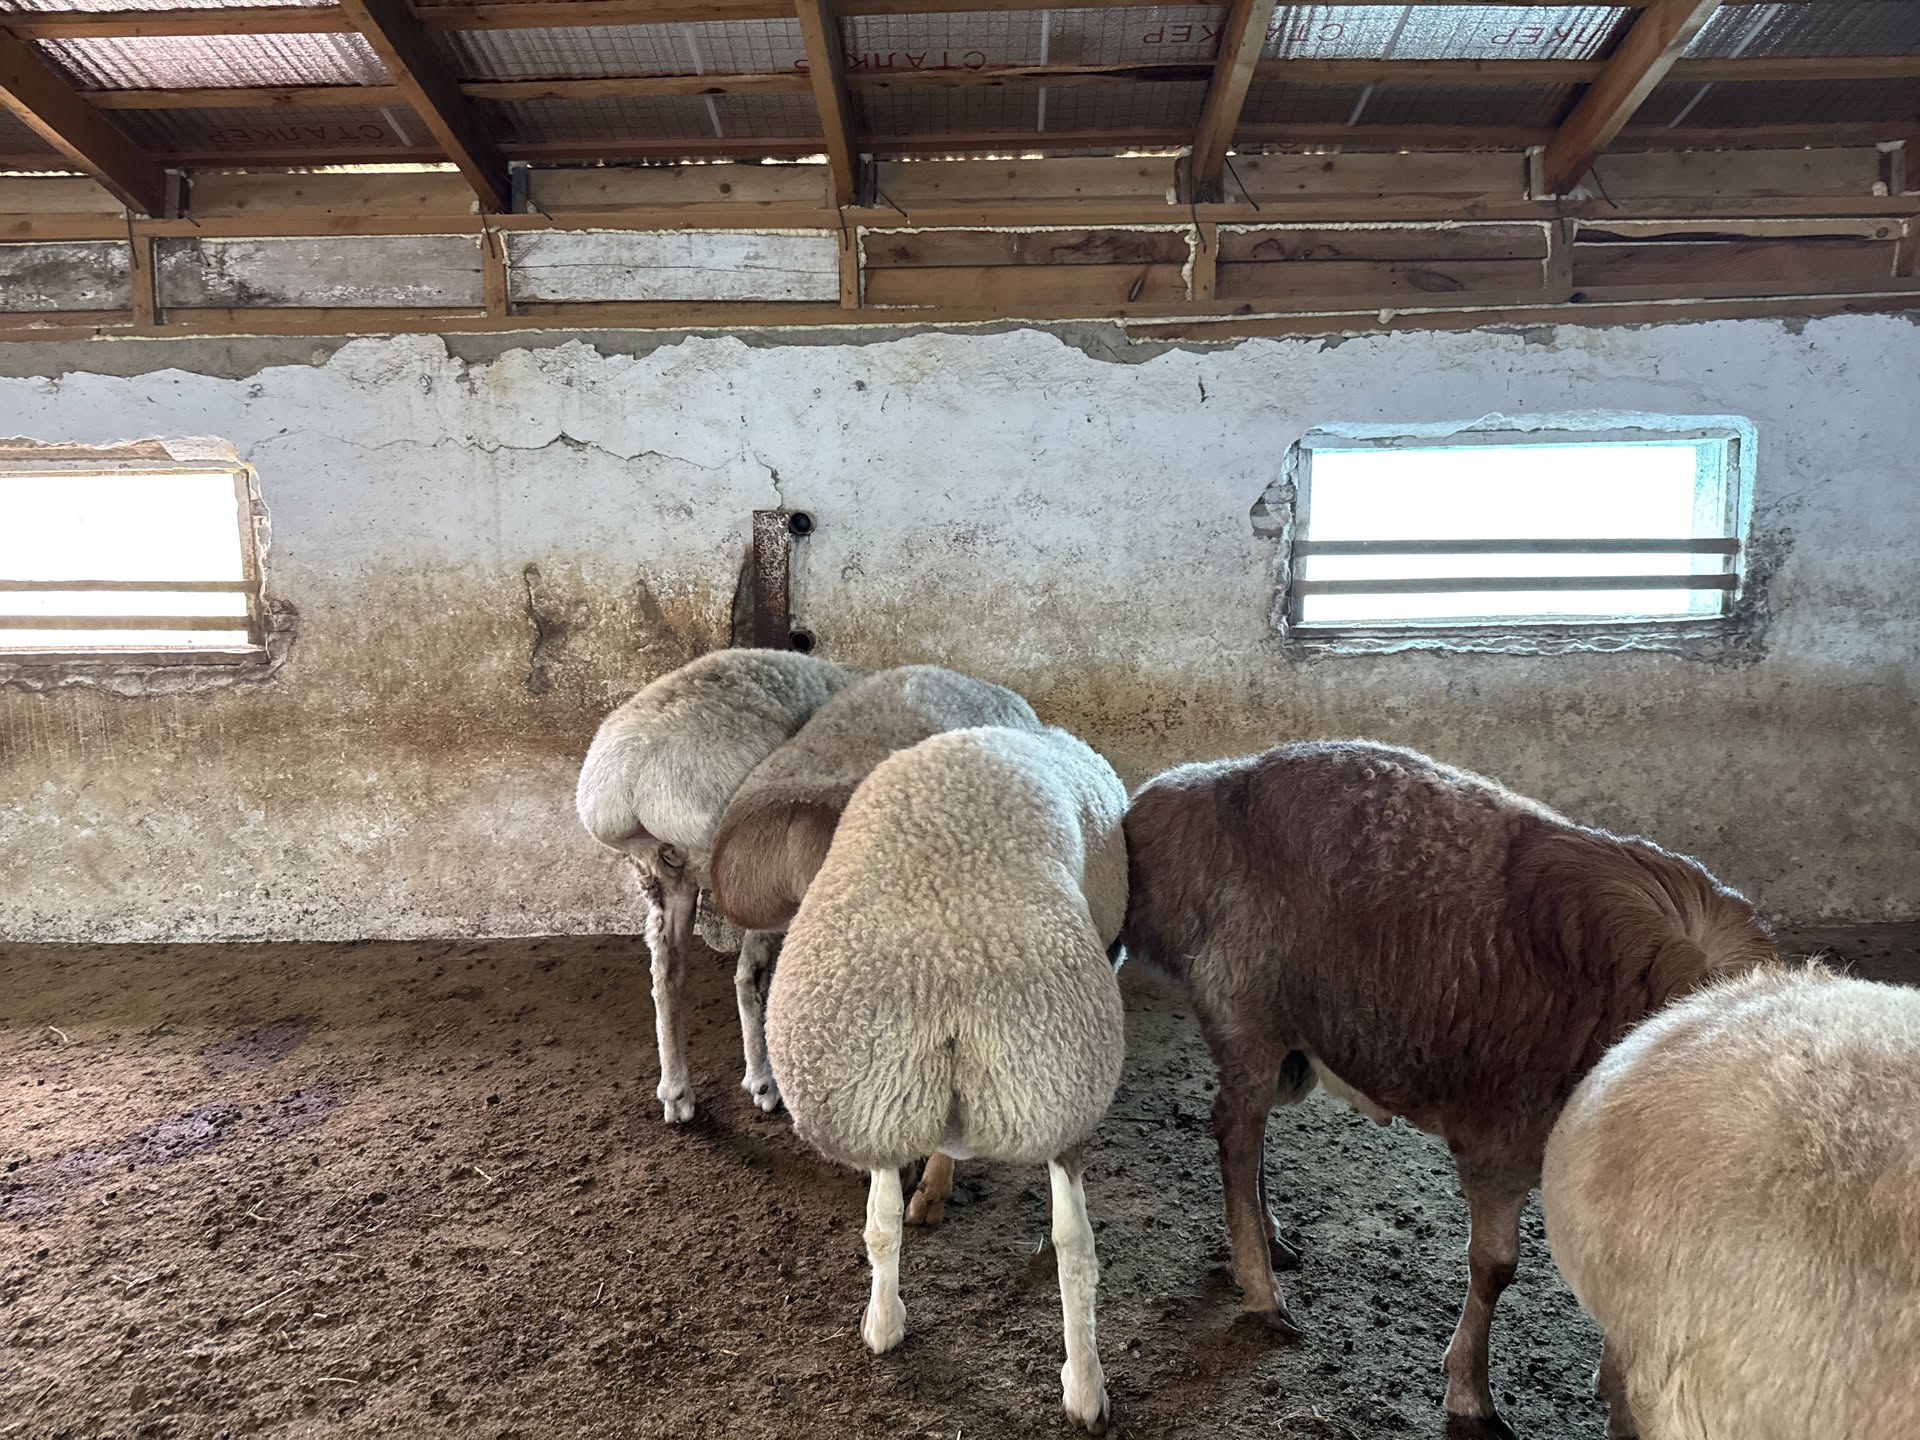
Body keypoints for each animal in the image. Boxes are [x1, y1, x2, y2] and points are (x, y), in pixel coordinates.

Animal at [575, 647, 864, 1122]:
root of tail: (631, 777)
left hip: (663, 875)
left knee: (667, 974)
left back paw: (676, 1091)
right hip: (749, 869)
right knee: (750, 976)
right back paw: (763, 1079)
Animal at [765, 725, 1129, 1434]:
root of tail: (953, 965)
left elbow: (884, 1216)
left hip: (881, 1088)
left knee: (883, 1221)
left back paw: (884, 1324)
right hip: (1044, 1083)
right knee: (1075, 1247)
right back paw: (1084, 1388)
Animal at [1117, 739, 1779, 1440]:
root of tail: (1178, 791)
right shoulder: (1500, 1141)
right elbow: (1495, 1266)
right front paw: (1470, 1393)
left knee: (1251, 1136)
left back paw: (1270, 1239)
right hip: (1245, 1010)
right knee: (1235, 1135)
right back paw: (1263, 1290)